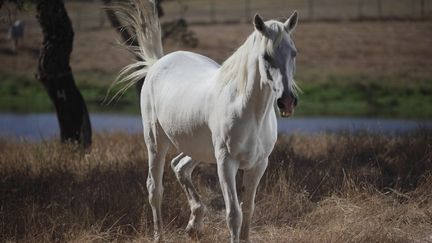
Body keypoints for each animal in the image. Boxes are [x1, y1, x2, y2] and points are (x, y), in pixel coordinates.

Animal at [113, 0, 298, 242]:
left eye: (294, 53)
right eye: (266, 56)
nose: (287, 101)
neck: (250, 113)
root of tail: (157, 63)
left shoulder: (259, 165)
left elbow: (248, 209)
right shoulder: (226, 163)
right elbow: (234, 214)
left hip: (199, 149)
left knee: (180, 166)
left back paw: (194, 224)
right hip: (156, 143)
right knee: (155, 189)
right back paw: (160, 235)